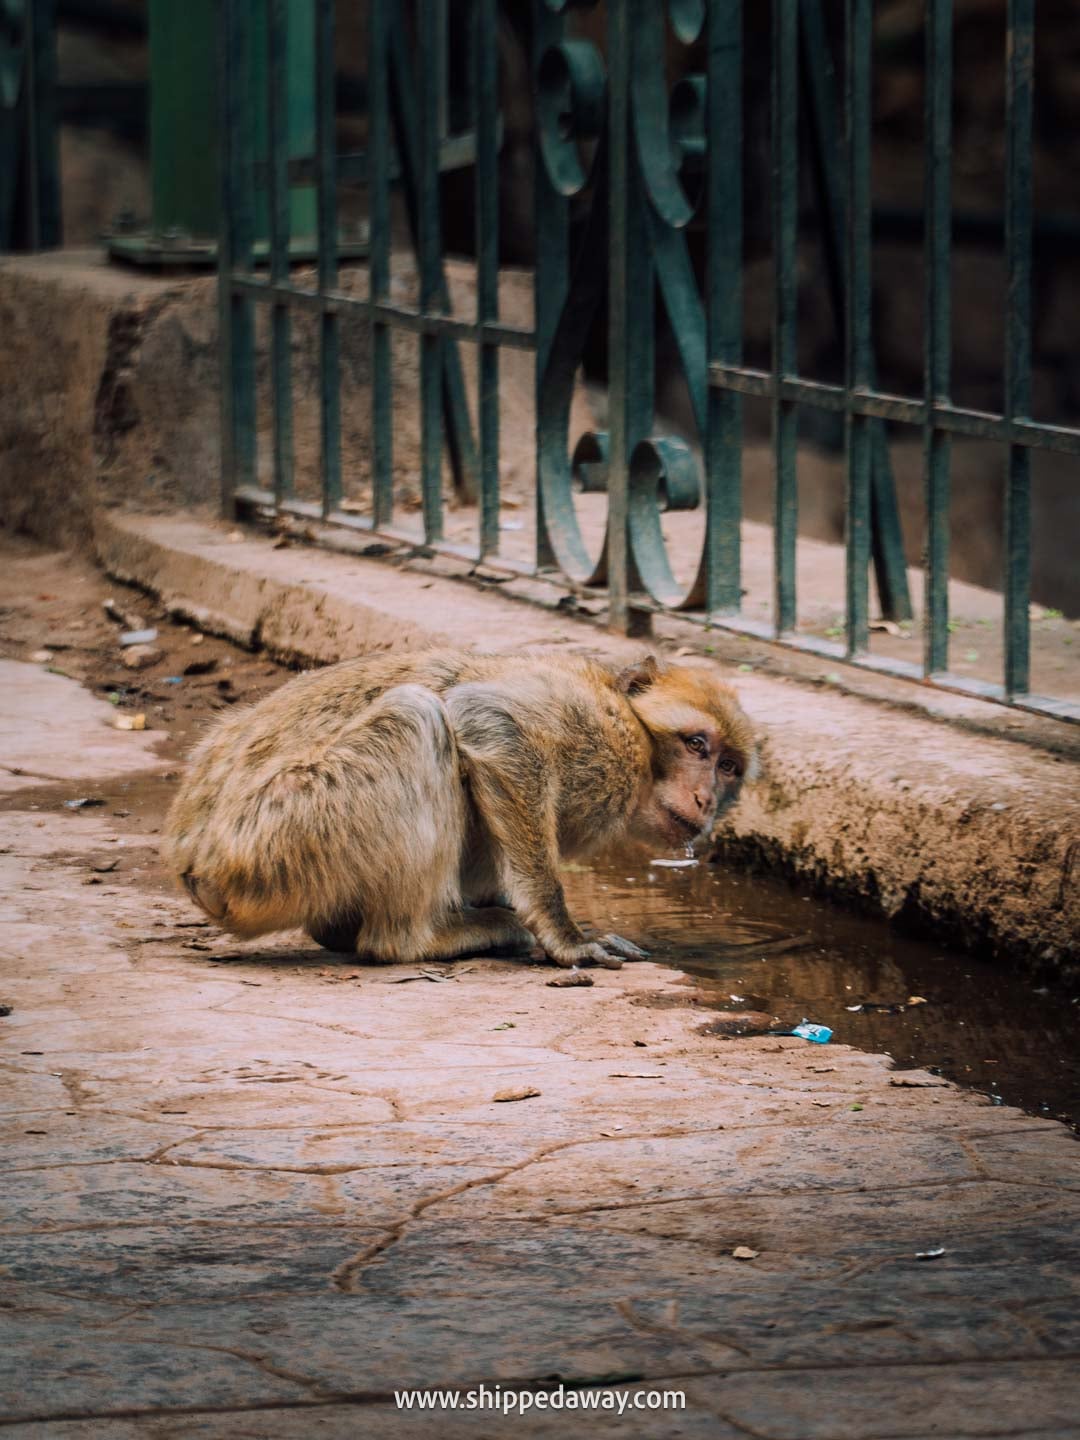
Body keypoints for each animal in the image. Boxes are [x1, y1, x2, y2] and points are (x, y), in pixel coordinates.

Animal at [163, 649, 756, 969]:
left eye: (729, 766)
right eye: (696, 745)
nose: (706, 799)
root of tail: (191, 861)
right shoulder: (601, 735)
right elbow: (488, 720)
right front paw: (565, 937)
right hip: (278, 836)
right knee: (418, 715)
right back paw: (416, 939)